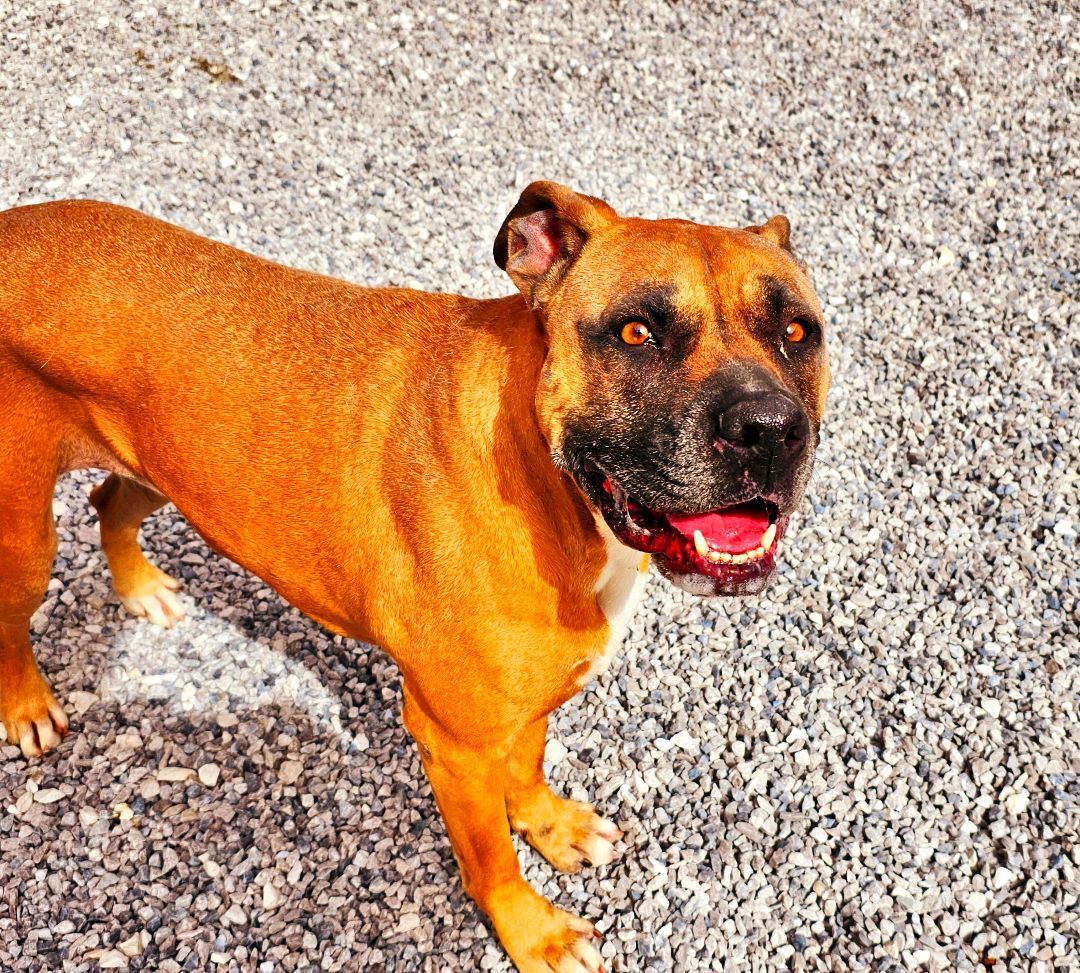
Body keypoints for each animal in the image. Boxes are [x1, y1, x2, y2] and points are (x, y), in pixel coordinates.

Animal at [0, 184, 825, 971]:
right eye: (636, 332)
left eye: (797, 332)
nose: (768, 429)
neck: (544, 476)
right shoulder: (454, 741)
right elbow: (492, 858)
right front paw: (534, 931)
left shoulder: (536, 683)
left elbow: (528, 763)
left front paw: (550, 823)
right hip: (25, 537)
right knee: (15, 616)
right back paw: (29, 707)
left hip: (160, 465)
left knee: (110, 501)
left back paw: (140, 588)